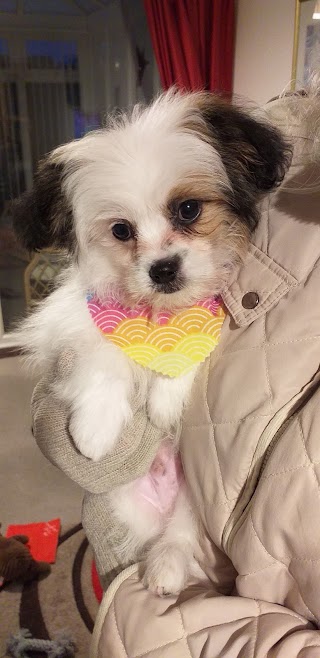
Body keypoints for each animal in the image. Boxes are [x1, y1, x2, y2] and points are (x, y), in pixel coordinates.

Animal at [13, 89, 292, 592]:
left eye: (188, 210)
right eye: (121, 230)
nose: (163, 269)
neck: (159, 316)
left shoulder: (205, 324)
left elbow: (188, 358)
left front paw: (164, 401)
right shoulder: (72, 323)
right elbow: (99, 358)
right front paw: (96, 430)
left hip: (191, 505)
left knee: (179, 536)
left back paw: (165, 569)